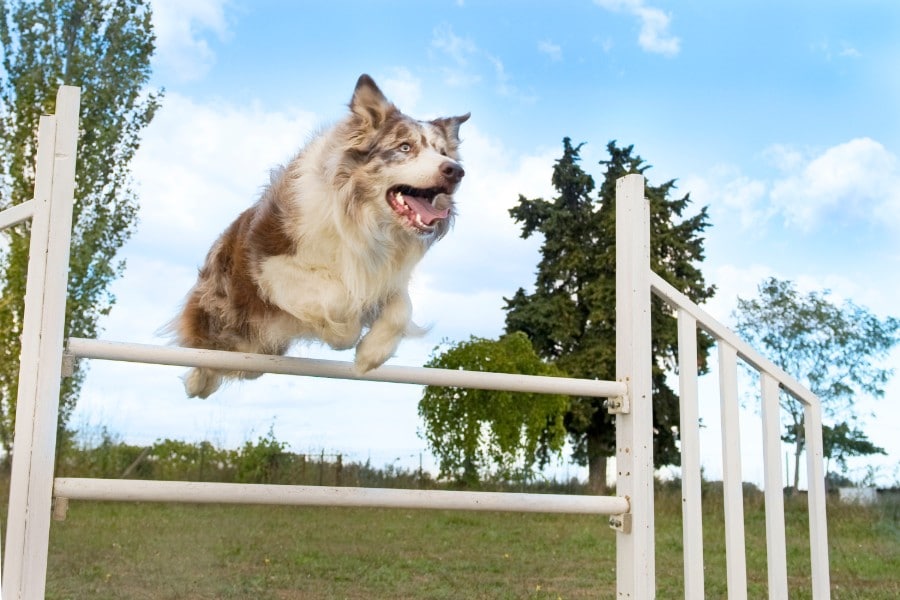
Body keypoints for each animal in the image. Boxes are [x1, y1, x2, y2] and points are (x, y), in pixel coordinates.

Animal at [168, 74, 472, 398]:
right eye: (405, 147)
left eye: (443, 153)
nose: (455, 171)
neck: (364, 218)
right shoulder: (271, 266)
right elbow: (338, 298)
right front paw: (343, 335)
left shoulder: (384, 275)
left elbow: (401, 307)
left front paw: (369, 355)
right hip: (223, 309)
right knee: (207, 349)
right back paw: (198, 382)